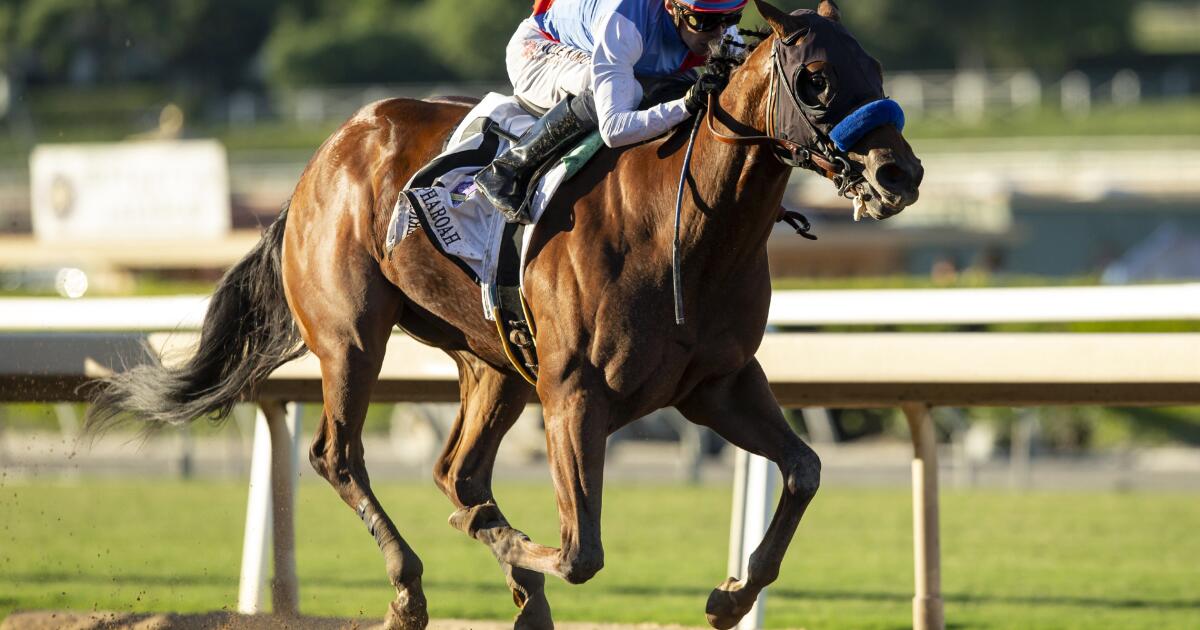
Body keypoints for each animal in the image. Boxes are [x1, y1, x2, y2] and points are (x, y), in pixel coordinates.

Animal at [88, 2, 921, 624]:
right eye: (814, 79)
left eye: (877, 71)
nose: (900, 173)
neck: (681, 227)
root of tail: (322, 158)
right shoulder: (575, 392)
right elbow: (581, 550)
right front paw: (522, 555)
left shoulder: (717, 383)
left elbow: (805, 470)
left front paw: (731, 596)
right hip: (352, 337)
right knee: (341, 456)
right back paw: (414, 590)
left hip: (494, 363)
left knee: (457, 472)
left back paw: (514, 583)